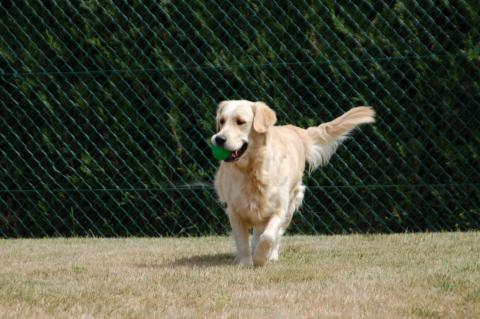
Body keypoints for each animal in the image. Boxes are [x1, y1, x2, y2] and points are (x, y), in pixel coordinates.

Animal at [211, 100, 376, 268]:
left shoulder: (279, 209)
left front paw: (260, 258)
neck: (253, 170)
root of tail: (295, 129)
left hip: (291, 204)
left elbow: (268, 236)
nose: (218, 139)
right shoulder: (234, 210)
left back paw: (271, 255)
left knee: (275, 235)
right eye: (222, 121)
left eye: (240, 122)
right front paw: (245, 263)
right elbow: (242, 241)